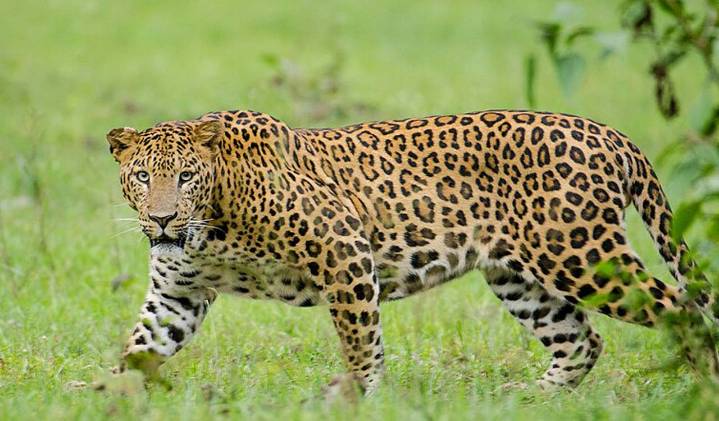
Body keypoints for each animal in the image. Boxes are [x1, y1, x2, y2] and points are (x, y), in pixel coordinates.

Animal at [107, 109, 719, 396]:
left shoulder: (343, 246)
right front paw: (105, 395)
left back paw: (704, 389)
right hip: (519, 276)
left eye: (186, 177)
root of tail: (609, 133)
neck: (210, 225)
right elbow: (140, 347)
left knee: (683, 311)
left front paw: (355, 396)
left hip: (580, 255)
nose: (162, 218)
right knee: (581, 340)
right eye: (142, 176)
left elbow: (360, 339)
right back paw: (531, 399)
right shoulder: (177, 293)